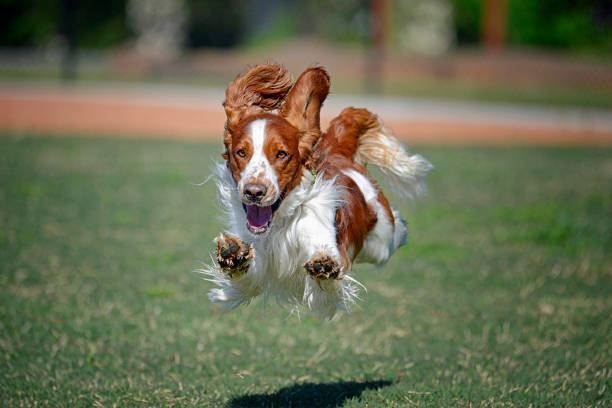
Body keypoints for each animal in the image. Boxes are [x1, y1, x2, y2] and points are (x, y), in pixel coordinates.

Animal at [203, 64, 432, 318]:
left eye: (281, 154)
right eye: (241, 152)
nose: (254, 192)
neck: (280, 223)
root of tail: (337, 151)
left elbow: (326, 275)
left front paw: (324, 264)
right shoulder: (257, 260)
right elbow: (247, 276)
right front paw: (233, 253)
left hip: (381, 241)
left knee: (395, 230)